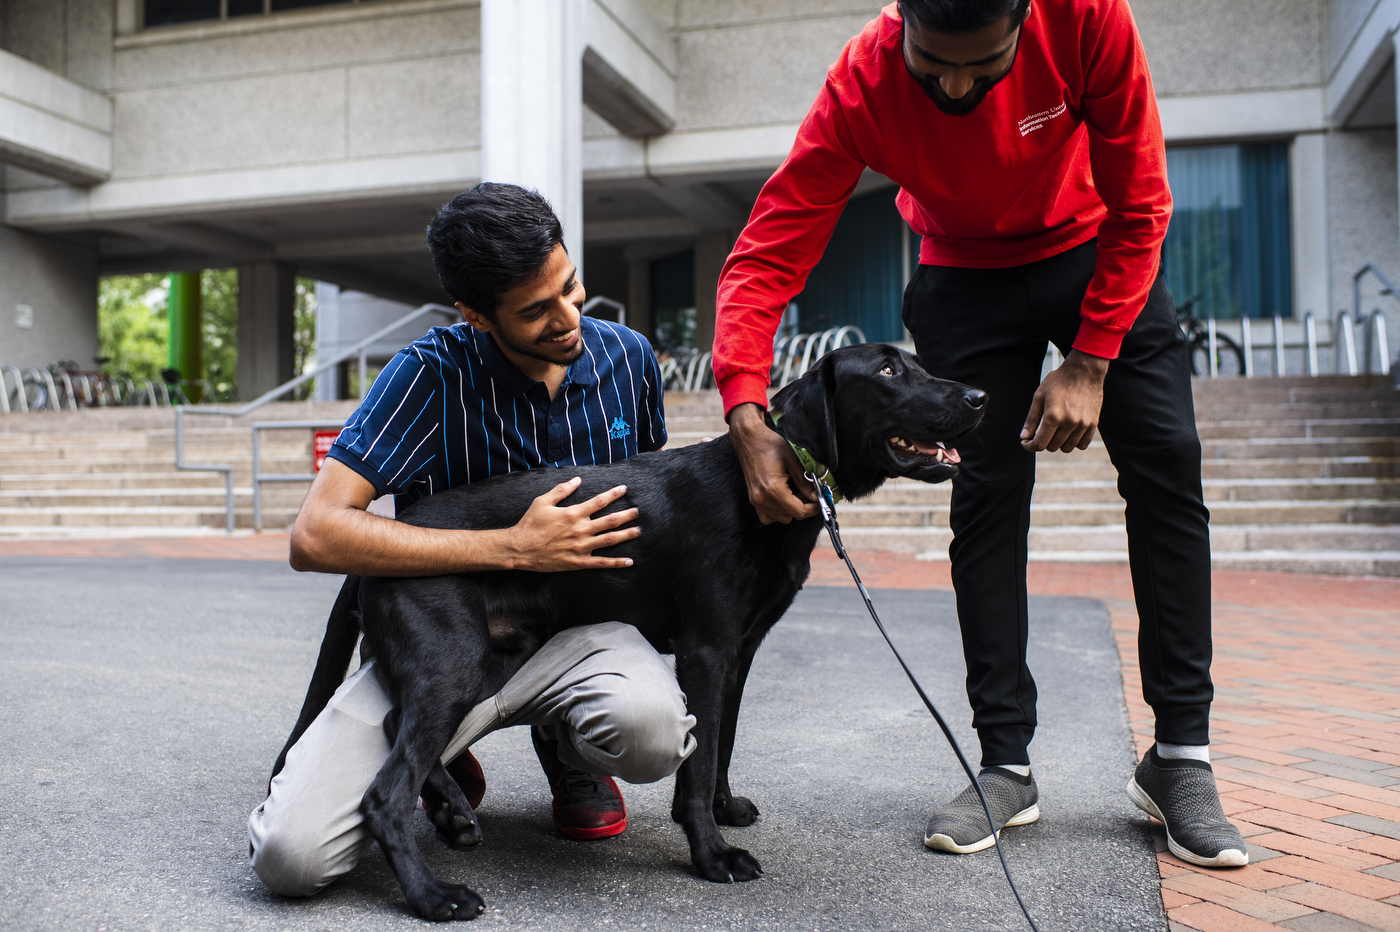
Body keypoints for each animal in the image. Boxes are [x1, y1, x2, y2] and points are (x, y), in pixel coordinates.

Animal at [270, 341, 985, 912]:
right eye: (889, 369)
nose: (981, 397)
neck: (759, 487)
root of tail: (386, 542)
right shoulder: (705, 650)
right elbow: (697, 763)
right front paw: (711, 855)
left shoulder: (740, 650)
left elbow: (722, 744)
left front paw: (725, 811)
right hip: (457, 662)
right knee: (383, 792)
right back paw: (431, 896)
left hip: (488, 658)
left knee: (398, 725)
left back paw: (452, 811)